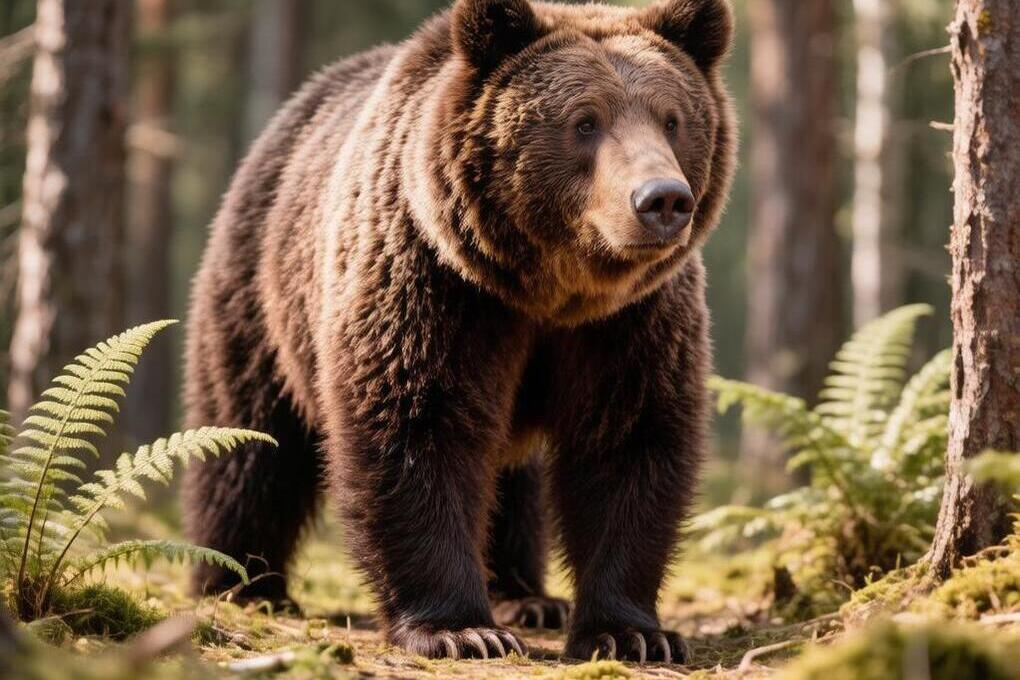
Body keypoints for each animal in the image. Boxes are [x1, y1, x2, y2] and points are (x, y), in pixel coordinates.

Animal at [182, 0, 735, 663]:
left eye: (672, 119)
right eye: (585, 121)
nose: (662, 200)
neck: (547, 292)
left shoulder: (631, 320)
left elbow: (629, 439)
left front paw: (632, 632)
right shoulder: (435, 281)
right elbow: (418, 424)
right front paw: (461, 630)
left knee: (511, 477)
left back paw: (528, 595)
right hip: (260, 287)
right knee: (250, 437)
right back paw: (242, 581)